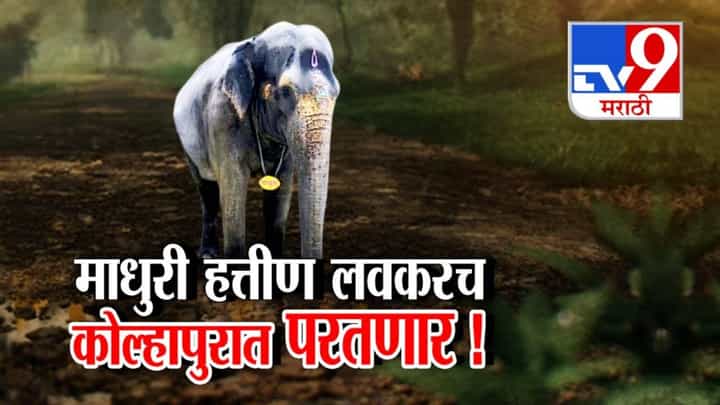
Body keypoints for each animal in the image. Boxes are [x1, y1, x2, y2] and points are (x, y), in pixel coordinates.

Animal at [173, 22, 340, 259]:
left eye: (337, 93)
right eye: (285, 92)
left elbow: (279, 197)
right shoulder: (222, 118)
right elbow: (232, 189)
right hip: (189, 145)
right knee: (207, 191)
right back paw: (207, 254)